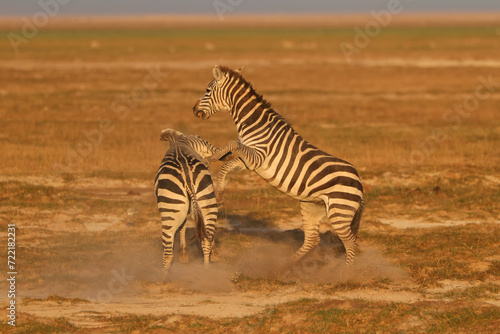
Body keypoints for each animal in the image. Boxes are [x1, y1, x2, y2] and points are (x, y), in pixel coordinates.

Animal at [155, 128, 220, 274]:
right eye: (202, 138)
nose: (220, 151)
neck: (179, 142)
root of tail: (186, 173)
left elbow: (183, 226)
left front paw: (183, 256)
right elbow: (185, 226)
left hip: (171, 208)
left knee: (168, 253)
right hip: (206, 204)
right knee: (205, 241)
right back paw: (206, 271)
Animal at [192, 64, 364, 264]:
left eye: (207, 90)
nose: (194, 110)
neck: (255, 123)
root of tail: (359, 181)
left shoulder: (259, 156)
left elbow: (232, 143)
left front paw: (212, 157)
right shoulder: (250, 162)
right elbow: (227, 166)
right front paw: (219, 193)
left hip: (339, 211)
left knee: (350, 242)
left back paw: (344, 271)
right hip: (312, 206)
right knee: (312, 240)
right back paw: (283, 265)